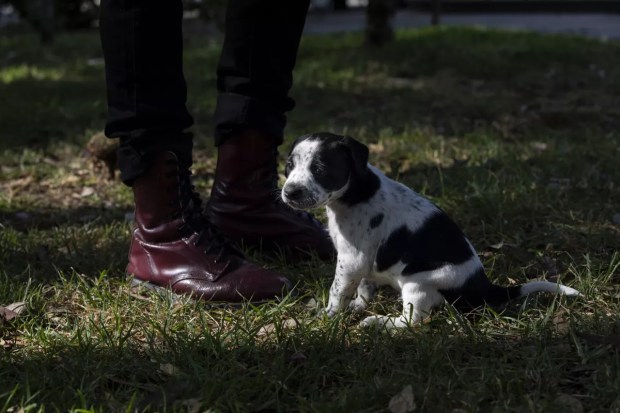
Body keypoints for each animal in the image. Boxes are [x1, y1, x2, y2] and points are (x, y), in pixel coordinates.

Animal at [280, 132, 580, 328]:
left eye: (321, 169)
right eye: (289, 166)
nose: (290, 192)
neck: (355, 192)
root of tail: (483, 288)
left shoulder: (352, 260)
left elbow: (337, 291)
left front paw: (328, 316)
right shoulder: (364, 262)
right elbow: (364, 286)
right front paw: (356, 305)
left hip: (418, 284)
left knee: (411, 321)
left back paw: (379, 322)